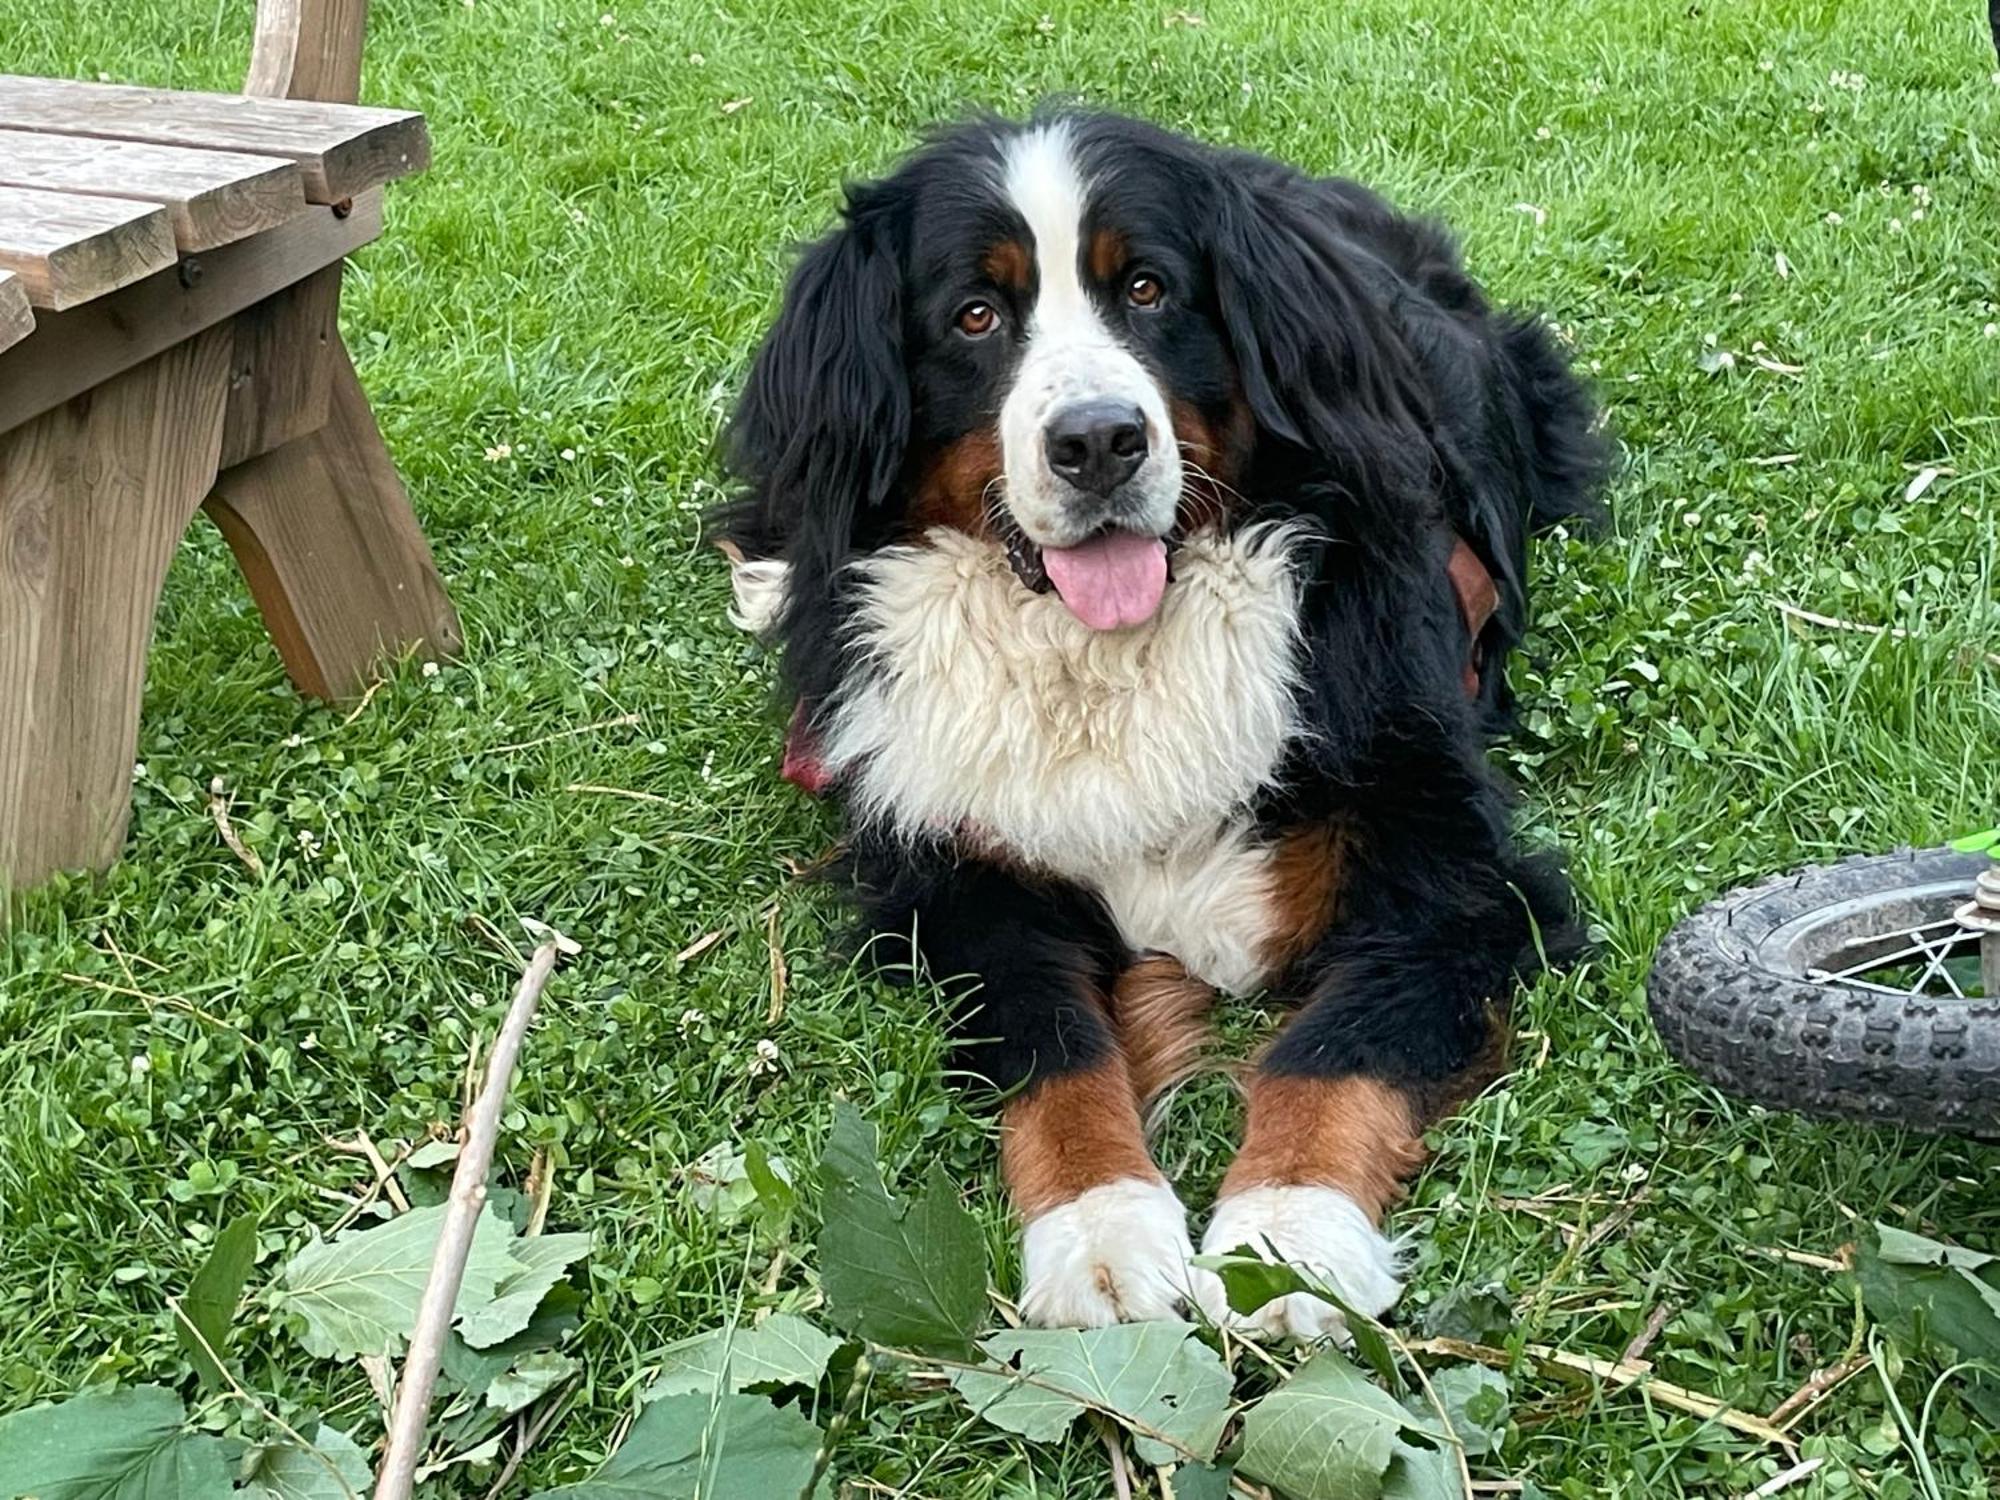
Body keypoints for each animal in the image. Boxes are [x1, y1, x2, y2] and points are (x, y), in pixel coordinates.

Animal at [720, 114, 1608, 1336]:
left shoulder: (1449, 874)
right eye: (975, 315)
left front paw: (1287, 1238)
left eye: (1146, 289)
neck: (1110, 660)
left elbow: (1335, 1049)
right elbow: (1055, 1049)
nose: (1098, 441)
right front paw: (1100, 1232)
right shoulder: (957, 880)